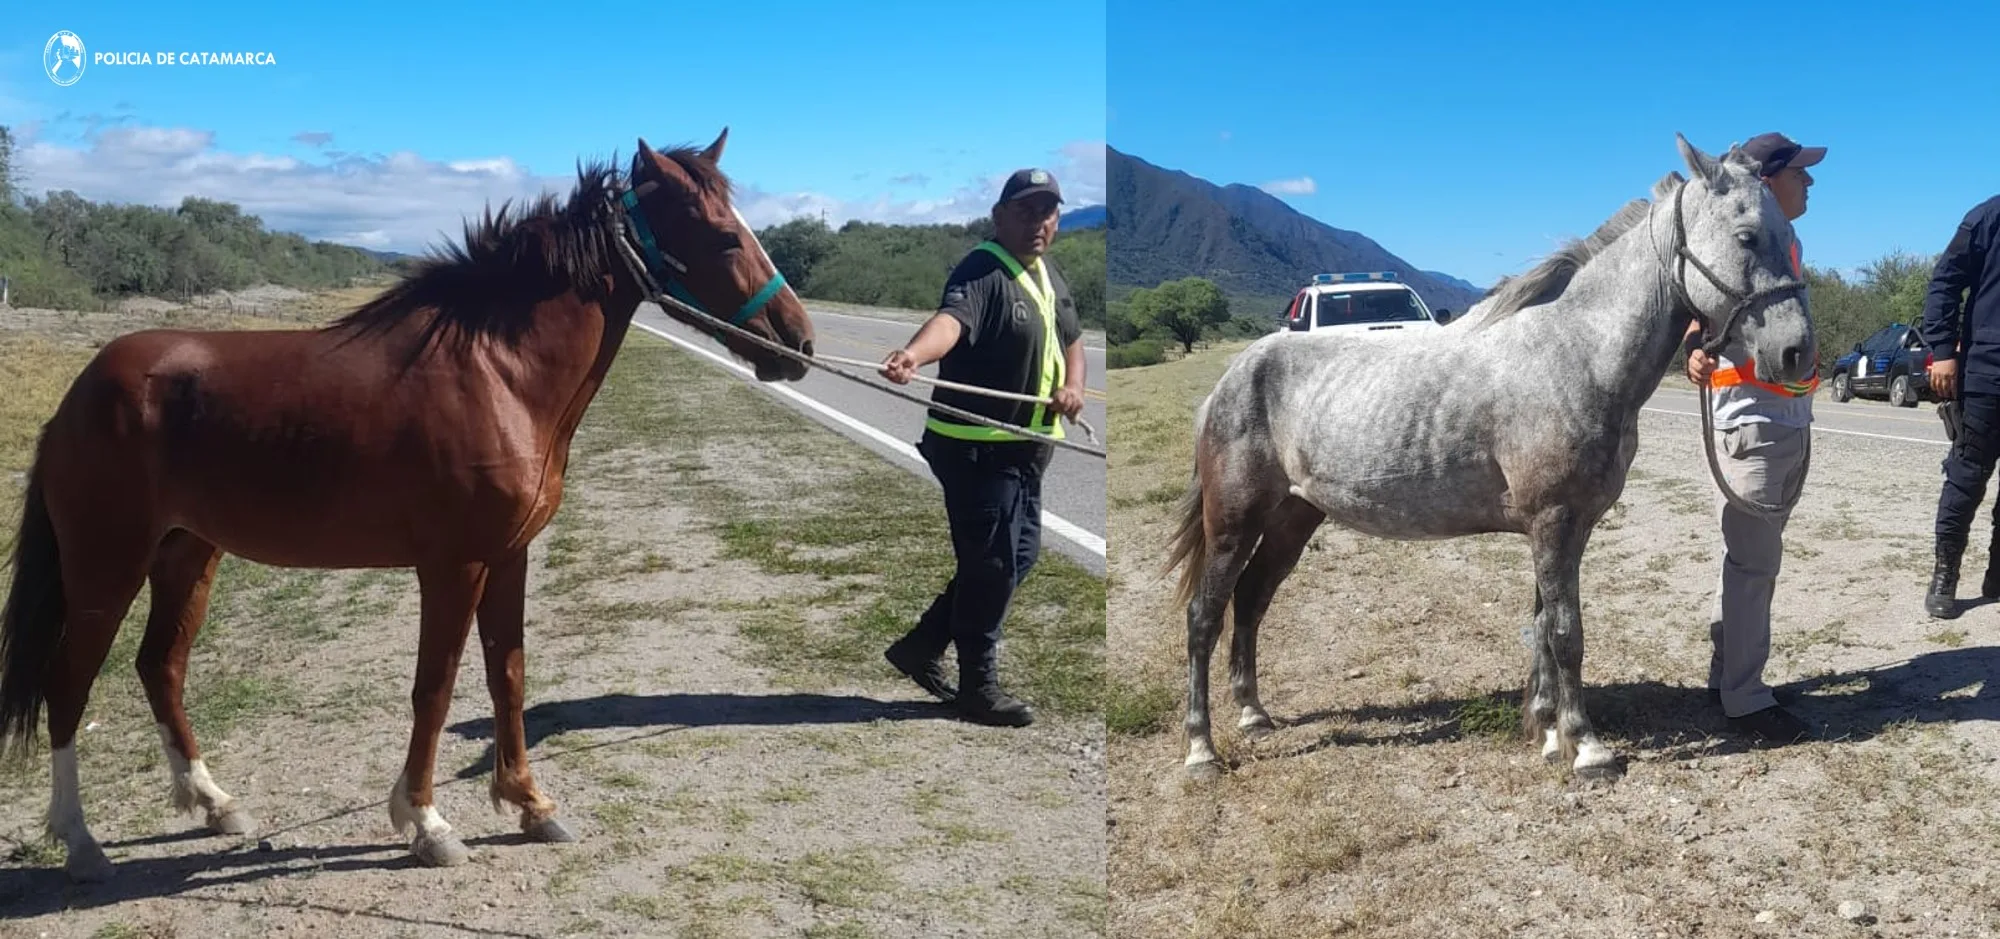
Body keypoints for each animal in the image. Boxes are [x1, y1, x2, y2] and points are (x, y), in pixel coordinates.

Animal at [0, 128, 816, 875]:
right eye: (722, 235)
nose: (800, 342)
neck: (497, 372)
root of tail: (81, 392)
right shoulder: (453, 565)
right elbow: (437, 686)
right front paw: (426, 822)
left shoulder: (509, 555)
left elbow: (508, 675)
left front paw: (529, 804)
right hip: (107, 566)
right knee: (68, 683)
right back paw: (79, 841)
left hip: (187, 552)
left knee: (159, 667)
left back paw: (214, 803)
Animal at [1168, 131, 1824, 779]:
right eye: (1747, 235)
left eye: (1786, 234)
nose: (1797, 354)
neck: (1576, 353)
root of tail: (1230, 380)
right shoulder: (1553, 522)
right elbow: (1566, 633)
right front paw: (1587, 748)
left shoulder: (1566, 528)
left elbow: (1541, 627)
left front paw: (1548, 732)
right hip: (1233, 521)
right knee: (1205, 614)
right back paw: (1201, 749)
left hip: (1293, 518)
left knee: (1252, 600)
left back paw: (1253, 714)